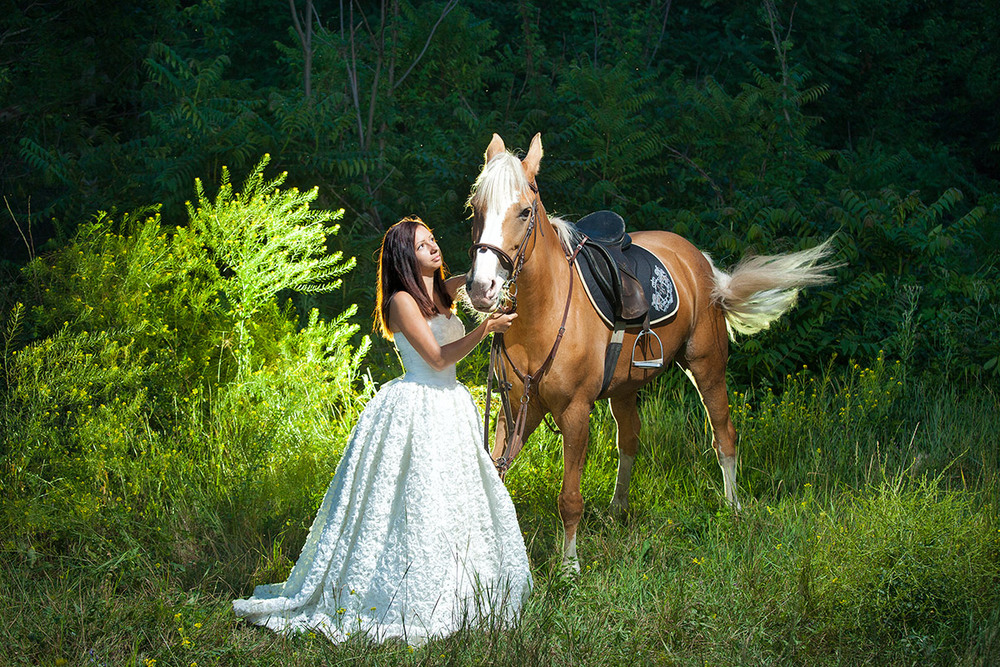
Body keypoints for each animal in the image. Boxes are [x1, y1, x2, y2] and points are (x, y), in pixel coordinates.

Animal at [468, 133, 836, 572]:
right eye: (476, 210)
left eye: (524, 212)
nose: (481, 288)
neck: (544, 312)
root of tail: (702, 262)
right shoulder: (516, 408)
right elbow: (497, 478)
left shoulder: (574, 412)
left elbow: (569, 498)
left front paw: (570, 566)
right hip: (625, 389)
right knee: (629, 440)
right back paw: (618, 509)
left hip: (707, 368)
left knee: (724, 436)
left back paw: (733, 508)